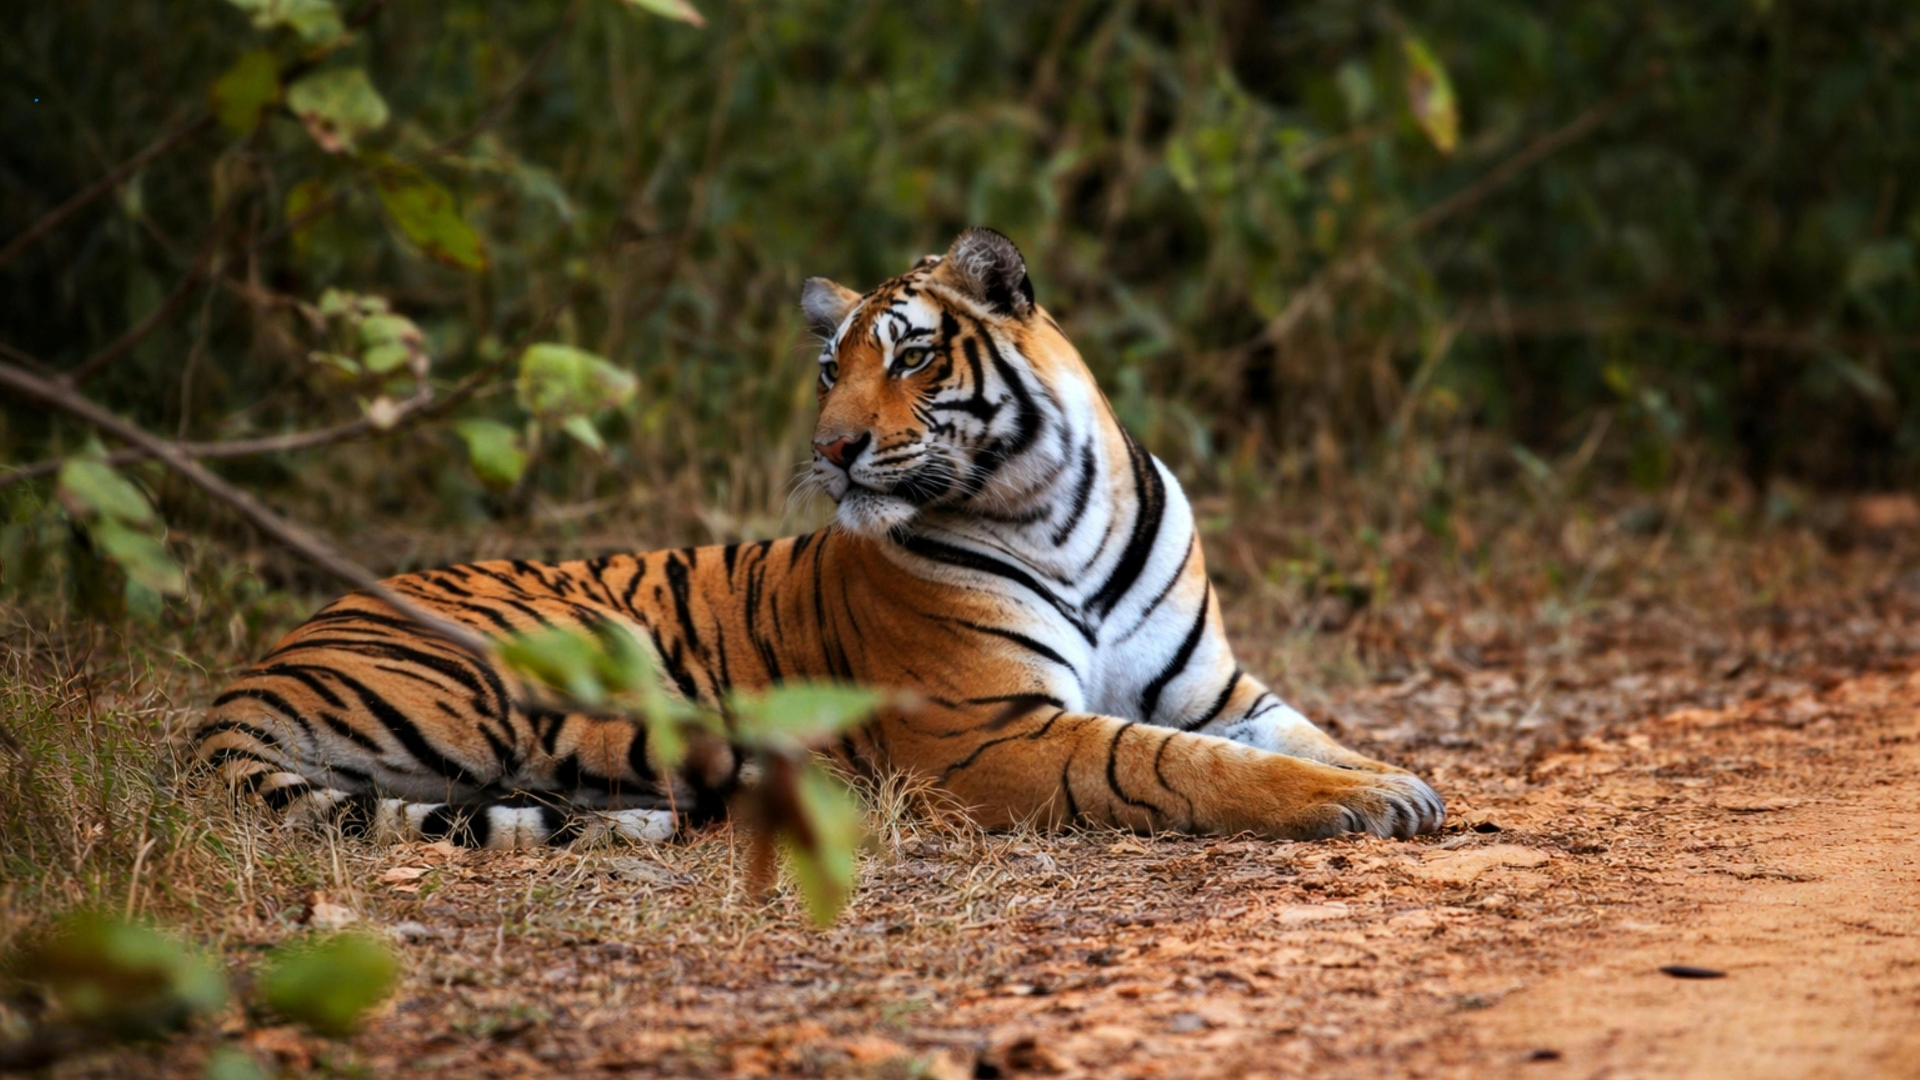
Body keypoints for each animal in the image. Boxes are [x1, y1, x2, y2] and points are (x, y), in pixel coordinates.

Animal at [193, 228, 1445, 849]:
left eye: (911, 357)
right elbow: (1176, 764)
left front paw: (1397, 779)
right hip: (572, 662)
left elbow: (1302, 734)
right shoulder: (990, 731)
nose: (833, 448)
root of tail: (254, 672)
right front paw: (1354, 803)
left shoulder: (1215, 686)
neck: (1058, 512)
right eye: (827, 370)